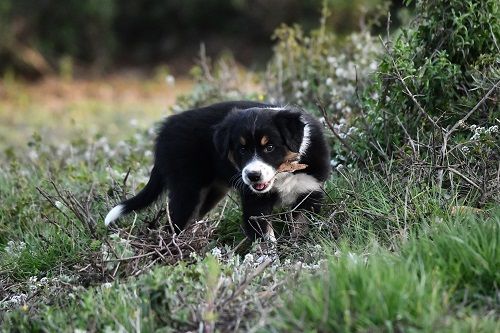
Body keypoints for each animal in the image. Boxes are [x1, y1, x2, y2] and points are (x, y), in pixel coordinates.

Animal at [104, 100, 332, 240]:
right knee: (173, 225)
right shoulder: (255, 202)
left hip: (211, 191)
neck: (284, 174)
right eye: (241, 149)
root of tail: (164, 132)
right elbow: (265, 237)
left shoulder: (308, 192)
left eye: (269, 147)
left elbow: (300, 228)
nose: (253, 176)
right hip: (187, 189)